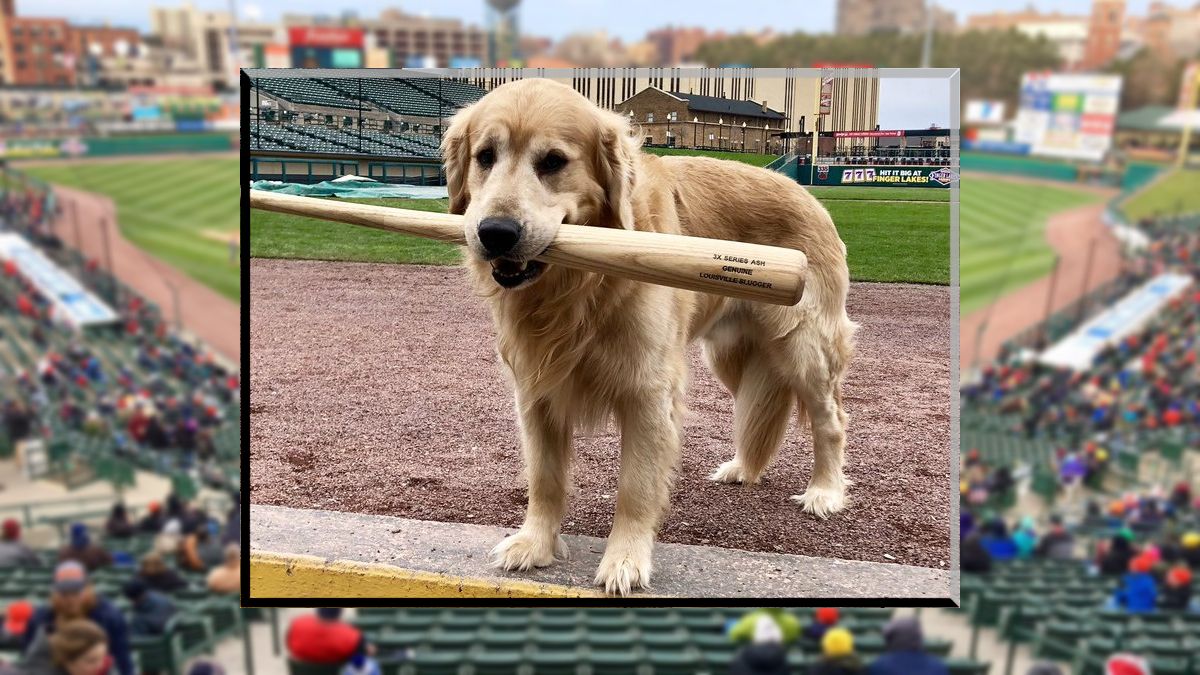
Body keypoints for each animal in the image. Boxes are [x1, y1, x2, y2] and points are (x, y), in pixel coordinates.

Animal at [446, 79, 859, 593]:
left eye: (553, 162)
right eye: (485, 156)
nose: (494, 233)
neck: (579, 287)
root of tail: (803, 190)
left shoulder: (648, 392)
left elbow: (636, 487)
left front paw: (624, 561)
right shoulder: (535, 389)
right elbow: (544, 478)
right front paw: (535, 544)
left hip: (804, 348)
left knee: (831, 421)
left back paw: (825, 490)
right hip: (730, 356)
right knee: (755, 406)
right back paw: (742, 468)